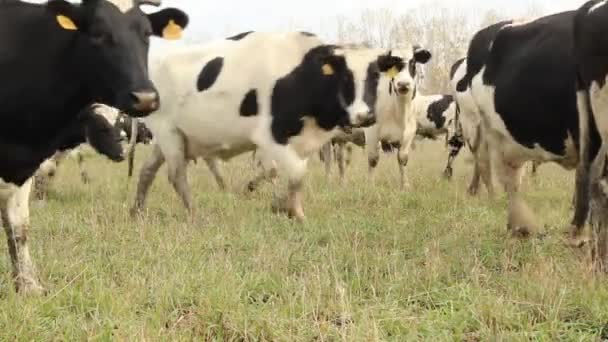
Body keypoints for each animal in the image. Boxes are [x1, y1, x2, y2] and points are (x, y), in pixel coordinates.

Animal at [0, 0, 188, 294]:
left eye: (146, 33)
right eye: (98, 33)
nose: (145, 97)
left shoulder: (24, 166)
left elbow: (19, 227)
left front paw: (28, 287)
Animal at [130, 31, 406, 219]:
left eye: (374, 75)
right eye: (345, 77)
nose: (365, 116)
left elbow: (290, 174)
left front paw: (280, 205)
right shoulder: (269, 136)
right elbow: (294, 172)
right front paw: (295, 213)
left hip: (172, 137)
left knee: (147, 170)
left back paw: (138, 211)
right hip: (168, 133)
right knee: (176, 175)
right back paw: (195, 214)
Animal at [364, 45, 434, 188]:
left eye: (413, 62)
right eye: (392, 63)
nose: (403, 84)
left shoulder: (409, 132)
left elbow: (402, 159)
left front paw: (405, 185)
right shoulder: (371, 131)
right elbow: (373, 159)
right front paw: (370, 186)